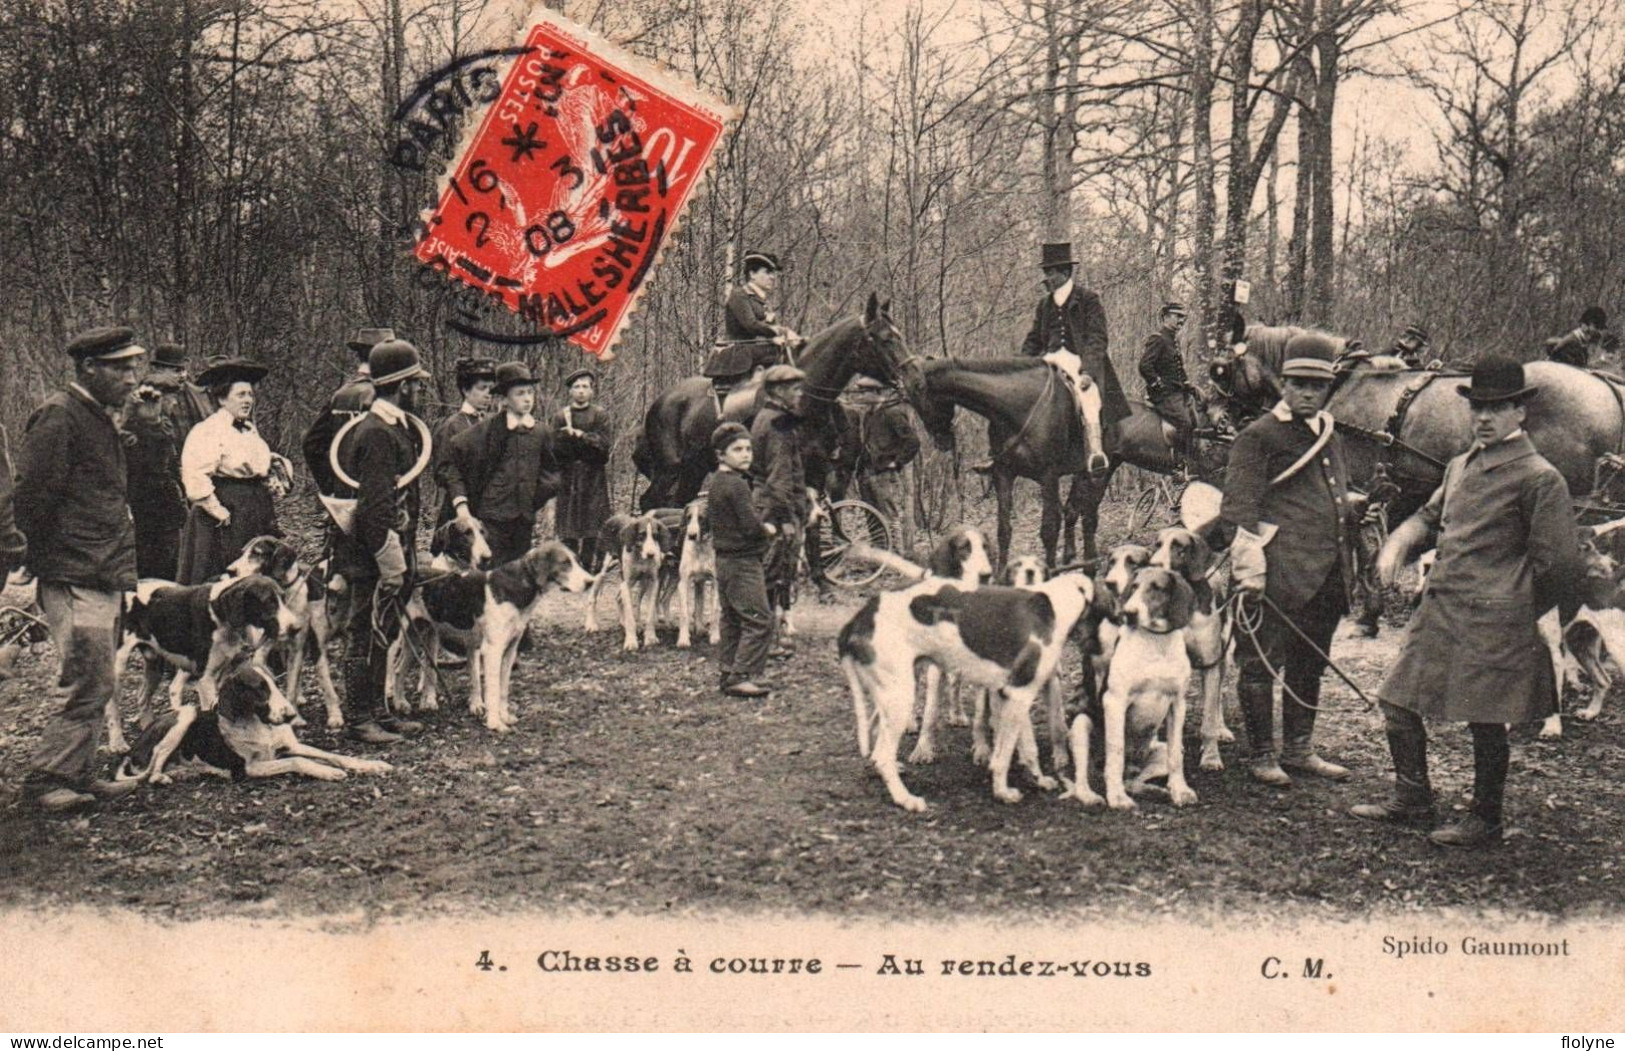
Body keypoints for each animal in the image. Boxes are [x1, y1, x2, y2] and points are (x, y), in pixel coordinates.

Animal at [633, 294, 929, 513]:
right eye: (886, 339)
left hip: (694, 469)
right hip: (669, 470)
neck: (803, 403)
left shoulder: (817, 471)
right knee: (651, 504)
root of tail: (659, 402)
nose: (916, 378)